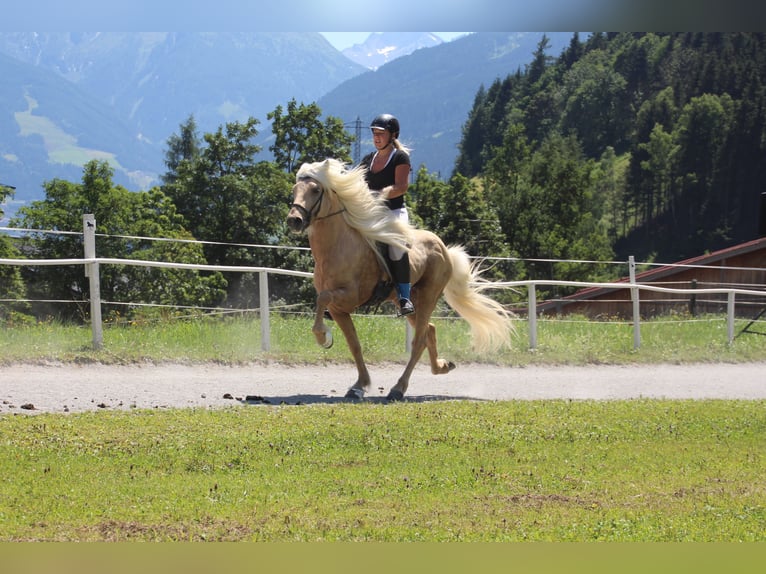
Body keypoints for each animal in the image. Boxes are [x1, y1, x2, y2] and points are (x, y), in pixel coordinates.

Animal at [284, 158, 512, 400]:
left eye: (315, 190)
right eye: (294, 190)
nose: (294, 220)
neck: (336, 247)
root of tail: (443, 247)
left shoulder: (350, 296)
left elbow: (323, 298)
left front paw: (323, 337)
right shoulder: (339, 309)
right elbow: (353, 343)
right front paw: (359, 386)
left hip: (429, 296)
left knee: (419, 339)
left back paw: (398, 388)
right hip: (407, 300)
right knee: (429, 330)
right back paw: (441, 367)